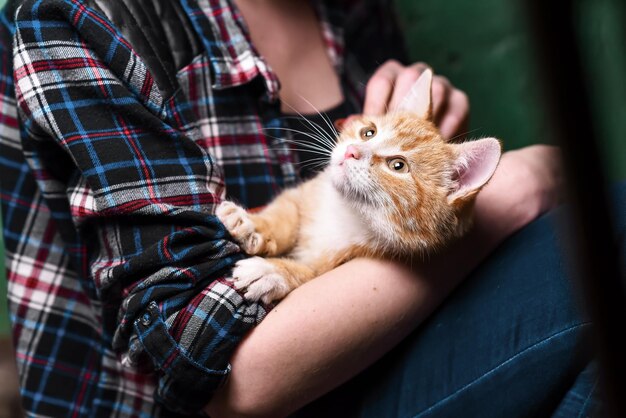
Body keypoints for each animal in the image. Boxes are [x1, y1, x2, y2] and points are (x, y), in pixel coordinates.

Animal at [217, 69, 500, 304]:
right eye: (368, 132)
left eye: (398, 166)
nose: (351, 151)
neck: (347, 211)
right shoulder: (304, 193)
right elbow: (285, 215)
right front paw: (252, 224)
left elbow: (312, 274)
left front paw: (274, 271)